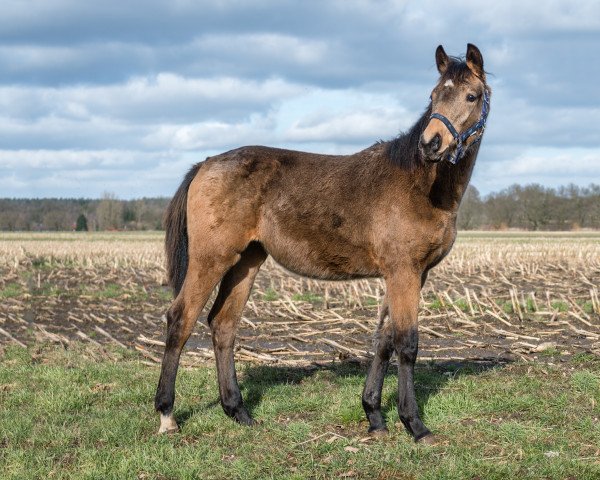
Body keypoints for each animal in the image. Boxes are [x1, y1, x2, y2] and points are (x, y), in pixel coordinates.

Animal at [155, 43, 492, 444]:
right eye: (434, 95)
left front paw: (374, 415)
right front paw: (415, 424)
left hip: (246, 261)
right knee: (181, 319)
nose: (431, 144)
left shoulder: (410, 275)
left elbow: (384, 340)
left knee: (223, 325)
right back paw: (167, 415)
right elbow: (407, 343)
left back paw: (239, 412)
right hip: (211, 259)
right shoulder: (403, 272)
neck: (420, 184)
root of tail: (204, 164)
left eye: (471, 96)